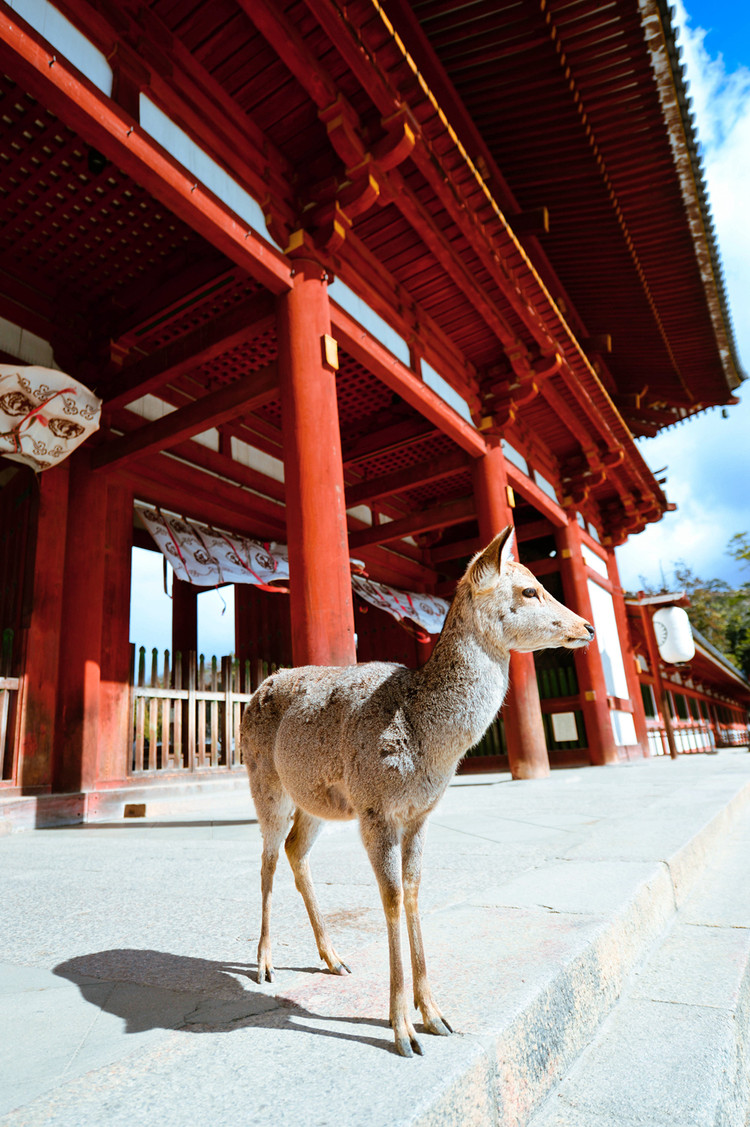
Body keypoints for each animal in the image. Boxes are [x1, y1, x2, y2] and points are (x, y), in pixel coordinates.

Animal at [241, 527, 595, 1057]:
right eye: (530, 590)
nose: (588, 627)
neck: (428, 743)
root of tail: (256, 689)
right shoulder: (375, 809)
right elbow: (388, 897)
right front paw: (402, 1030)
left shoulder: (420, 814)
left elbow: (412, 891)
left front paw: (436, 1015)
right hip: (266, 785)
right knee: (265, 858)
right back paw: (263, 963)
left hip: (317, 803)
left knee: (294, 850)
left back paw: (334, 958)